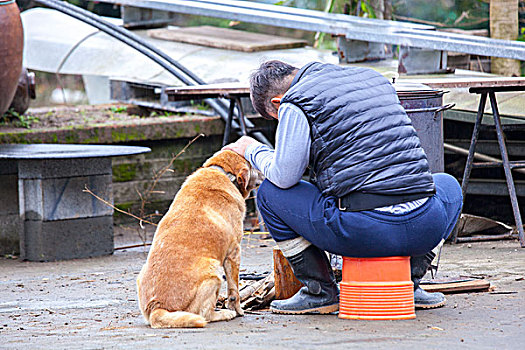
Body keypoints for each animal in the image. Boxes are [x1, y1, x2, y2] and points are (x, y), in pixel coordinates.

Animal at [137, 150, 264, 328]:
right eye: (252, 162)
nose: (265, 172)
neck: (223, 172)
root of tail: (157, 307)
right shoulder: (234, 253)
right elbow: (234, 290)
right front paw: (238, 310)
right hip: (214, 273)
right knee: (205, 314)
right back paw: (224, 313)